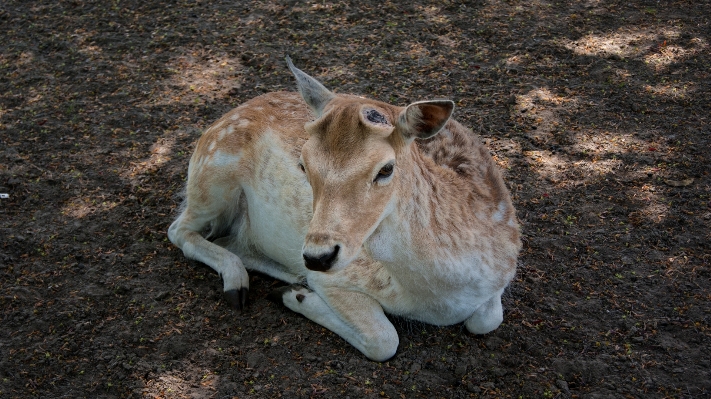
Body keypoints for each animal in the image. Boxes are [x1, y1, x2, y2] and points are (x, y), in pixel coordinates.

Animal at [168, 57, 524, 362]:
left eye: (386, 168)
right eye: (303, 163)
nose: (317, 257)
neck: (441, 299)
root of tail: (229, 113)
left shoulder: (502, 275)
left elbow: (487, 320)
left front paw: (294, 291)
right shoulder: (342, 277)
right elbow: (384, 339)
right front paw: (296, 296)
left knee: (228, 239)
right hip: (212, 172)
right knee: (179, 229)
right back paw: (241, 283)